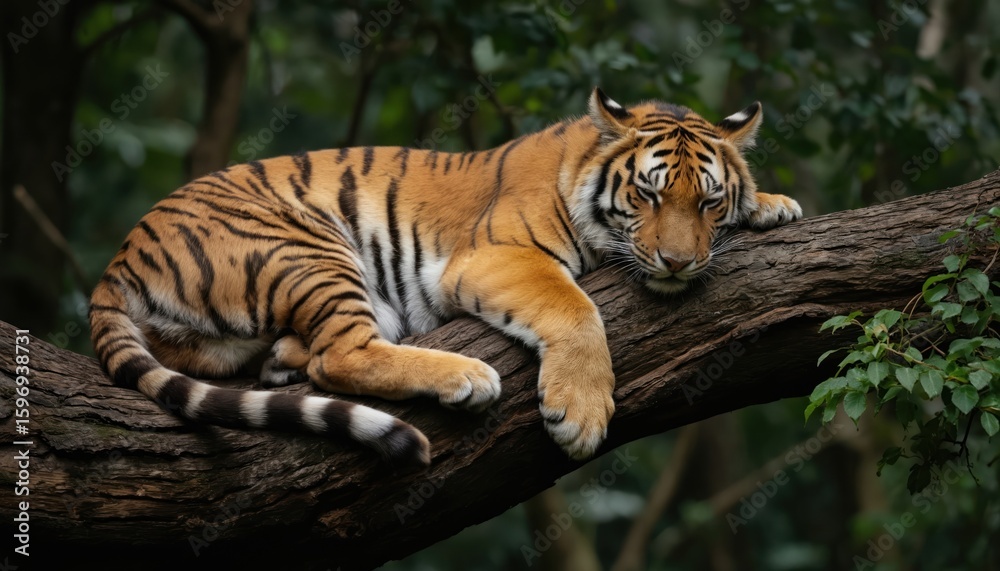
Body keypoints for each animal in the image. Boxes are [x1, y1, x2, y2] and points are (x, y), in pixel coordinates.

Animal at [89, 88, 802, 466]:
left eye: (707, 202)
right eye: (649, 196)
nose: (678, 262)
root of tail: (119, 261)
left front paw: (773, 204)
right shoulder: (492, 256)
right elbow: (575, 309)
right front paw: (580, 413)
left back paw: (283, 358)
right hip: (306, 245)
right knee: (339, 355)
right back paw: (464, 376)